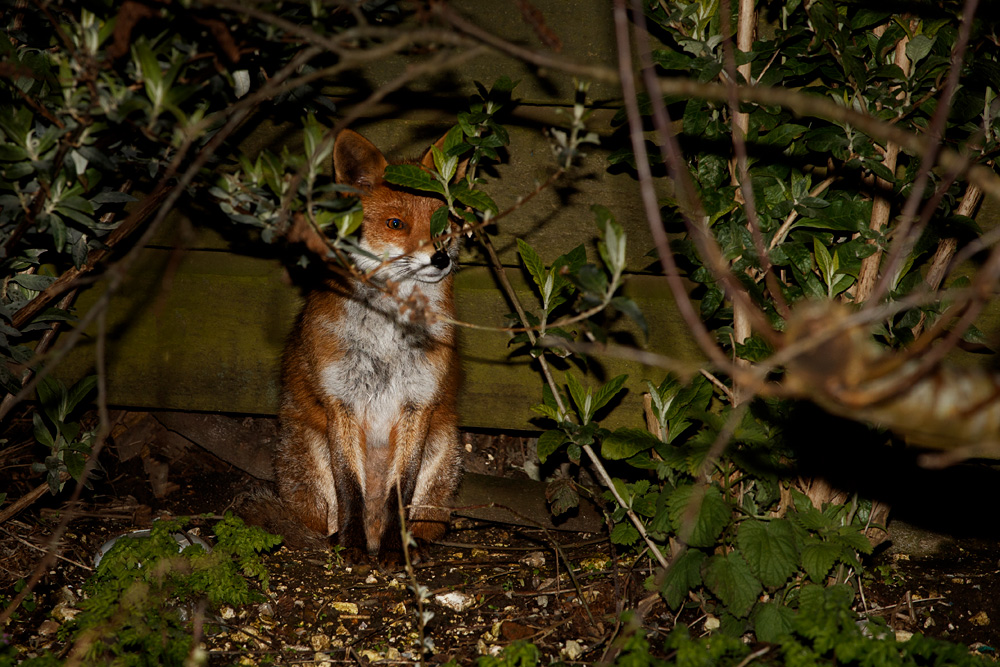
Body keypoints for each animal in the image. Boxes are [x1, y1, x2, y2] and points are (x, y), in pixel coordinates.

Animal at [269, 128, 464, 564]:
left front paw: (396, 551)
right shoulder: (340, 400)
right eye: (396, 224)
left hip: (443, 449)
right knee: (324, 512)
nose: (440, 259)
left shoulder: (419, 402)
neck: (388, 336)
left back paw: (407, 543)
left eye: (443, 224)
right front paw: (352, 546)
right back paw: (340, 539)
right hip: (310, 451)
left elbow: (400, 492)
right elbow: (350, 488)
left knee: (425, 517)